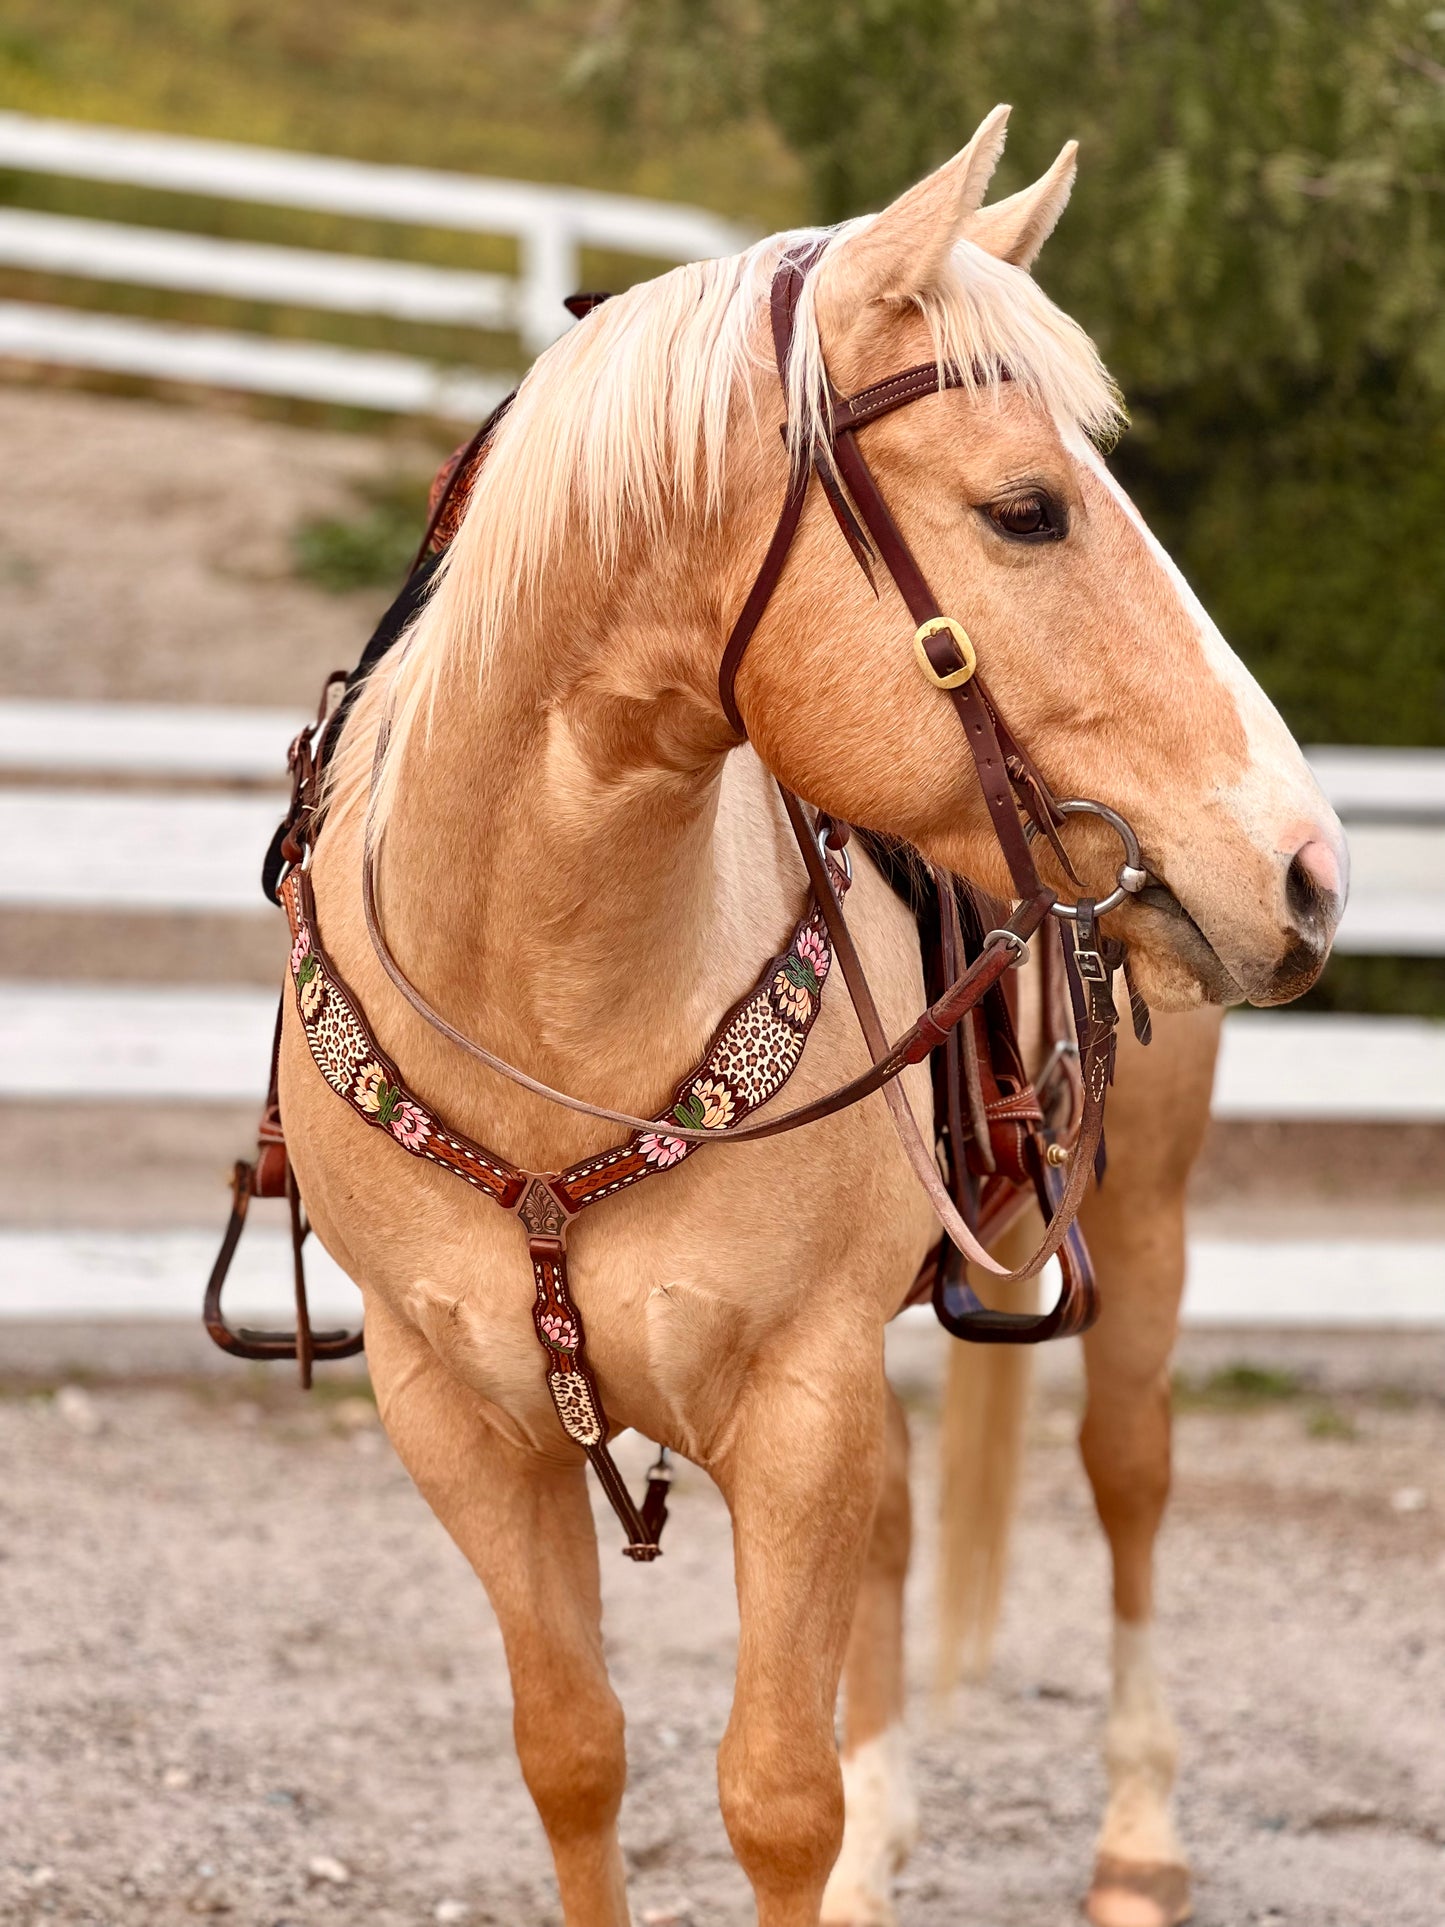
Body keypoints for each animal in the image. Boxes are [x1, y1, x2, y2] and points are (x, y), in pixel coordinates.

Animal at [283, 109, 1348, 1927]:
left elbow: (775, 1798)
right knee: (909, 1521)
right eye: (1027, 509)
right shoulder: (457, 1419)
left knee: (1128, 1475)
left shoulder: (793, 1400)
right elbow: (573, 1756)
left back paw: (1138, 1837)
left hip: (1142, 1225)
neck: (551, 1014)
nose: (1305, 863)